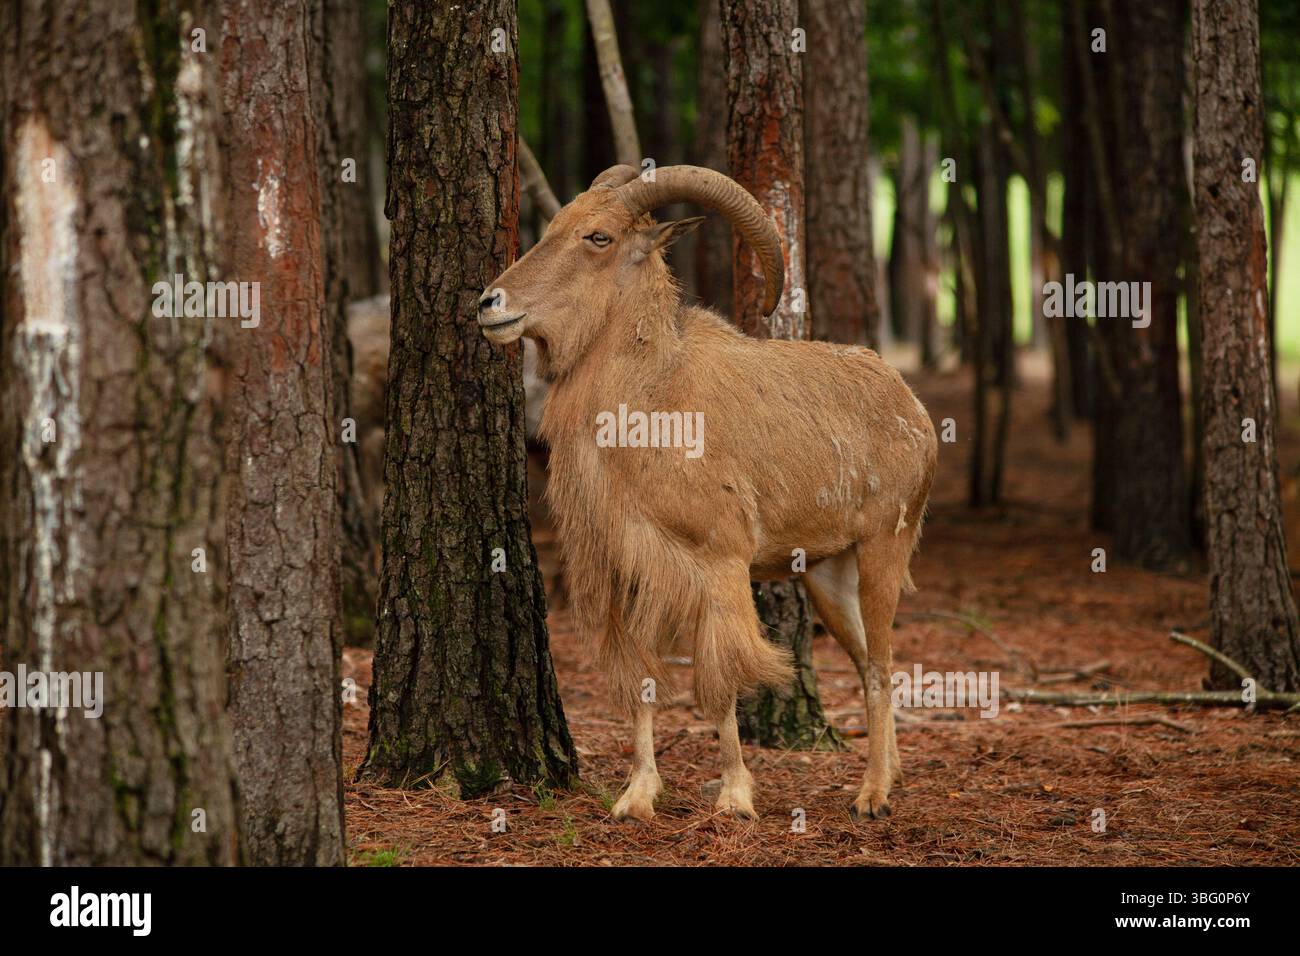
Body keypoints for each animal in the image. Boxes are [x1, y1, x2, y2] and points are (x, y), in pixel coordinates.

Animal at [480, 164, 937, 822]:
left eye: (598, 237)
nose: (490, 304)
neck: (650, 403)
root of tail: (914, 408)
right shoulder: (631, 571)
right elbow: (641, 684)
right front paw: (636, 795)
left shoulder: (718, 565)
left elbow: (719, 682)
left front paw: (734, 797)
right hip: (827, 573)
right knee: (866, 659)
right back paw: (891, 772)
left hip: (884, 547)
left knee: (878, 664)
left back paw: (872, 794)